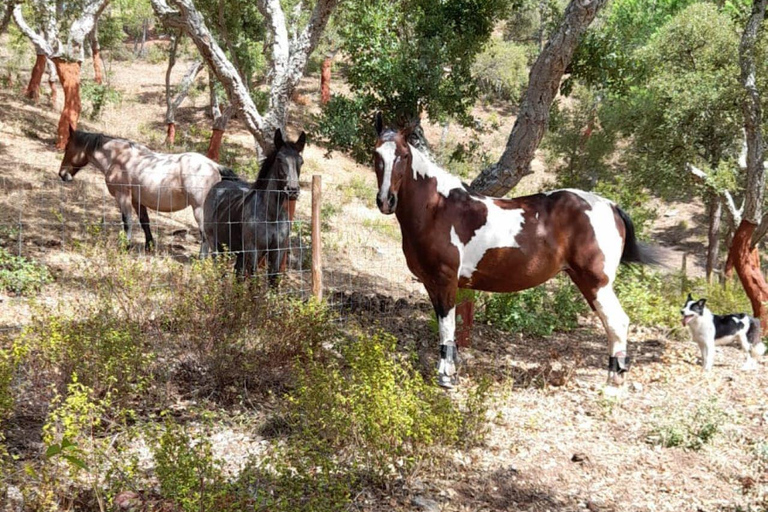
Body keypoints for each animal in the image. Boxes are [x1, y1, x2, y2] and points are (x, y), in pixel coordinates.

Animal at [57, 125, 238, 252]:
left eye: (67, 148)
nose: (62, 174)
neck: (118, 158)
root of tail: (214, 166)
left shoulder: (123, 196)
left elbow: (127, 221)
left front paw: (126, 245)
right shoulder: (137, 201)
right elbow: (144, 222)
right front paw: (149, 245)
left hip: (199, 210)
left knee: (205, 234)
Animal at [203, 129, 305, 286]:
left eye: (301, 161)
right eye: (279, 159)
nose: (292, 190)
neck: (271, 216)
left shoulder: (277, 251)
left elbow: (273, 282)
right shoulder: (254, 251)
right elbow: (253, 282)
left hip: (239, 251)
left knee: (237, 273)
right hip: (216, 244)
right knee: (220, 271)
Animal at [372, 114, 655, 389]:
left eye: (403, 156)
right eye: (377, 154)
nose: (386, 201)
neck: (437, 208)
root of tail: (610, 205)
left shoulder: (445, 280)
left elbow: (447, 326)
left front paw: (446, 377)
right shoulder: (432, 282)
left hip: (596, 282)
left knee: (617, 322)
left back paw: (614, 382)